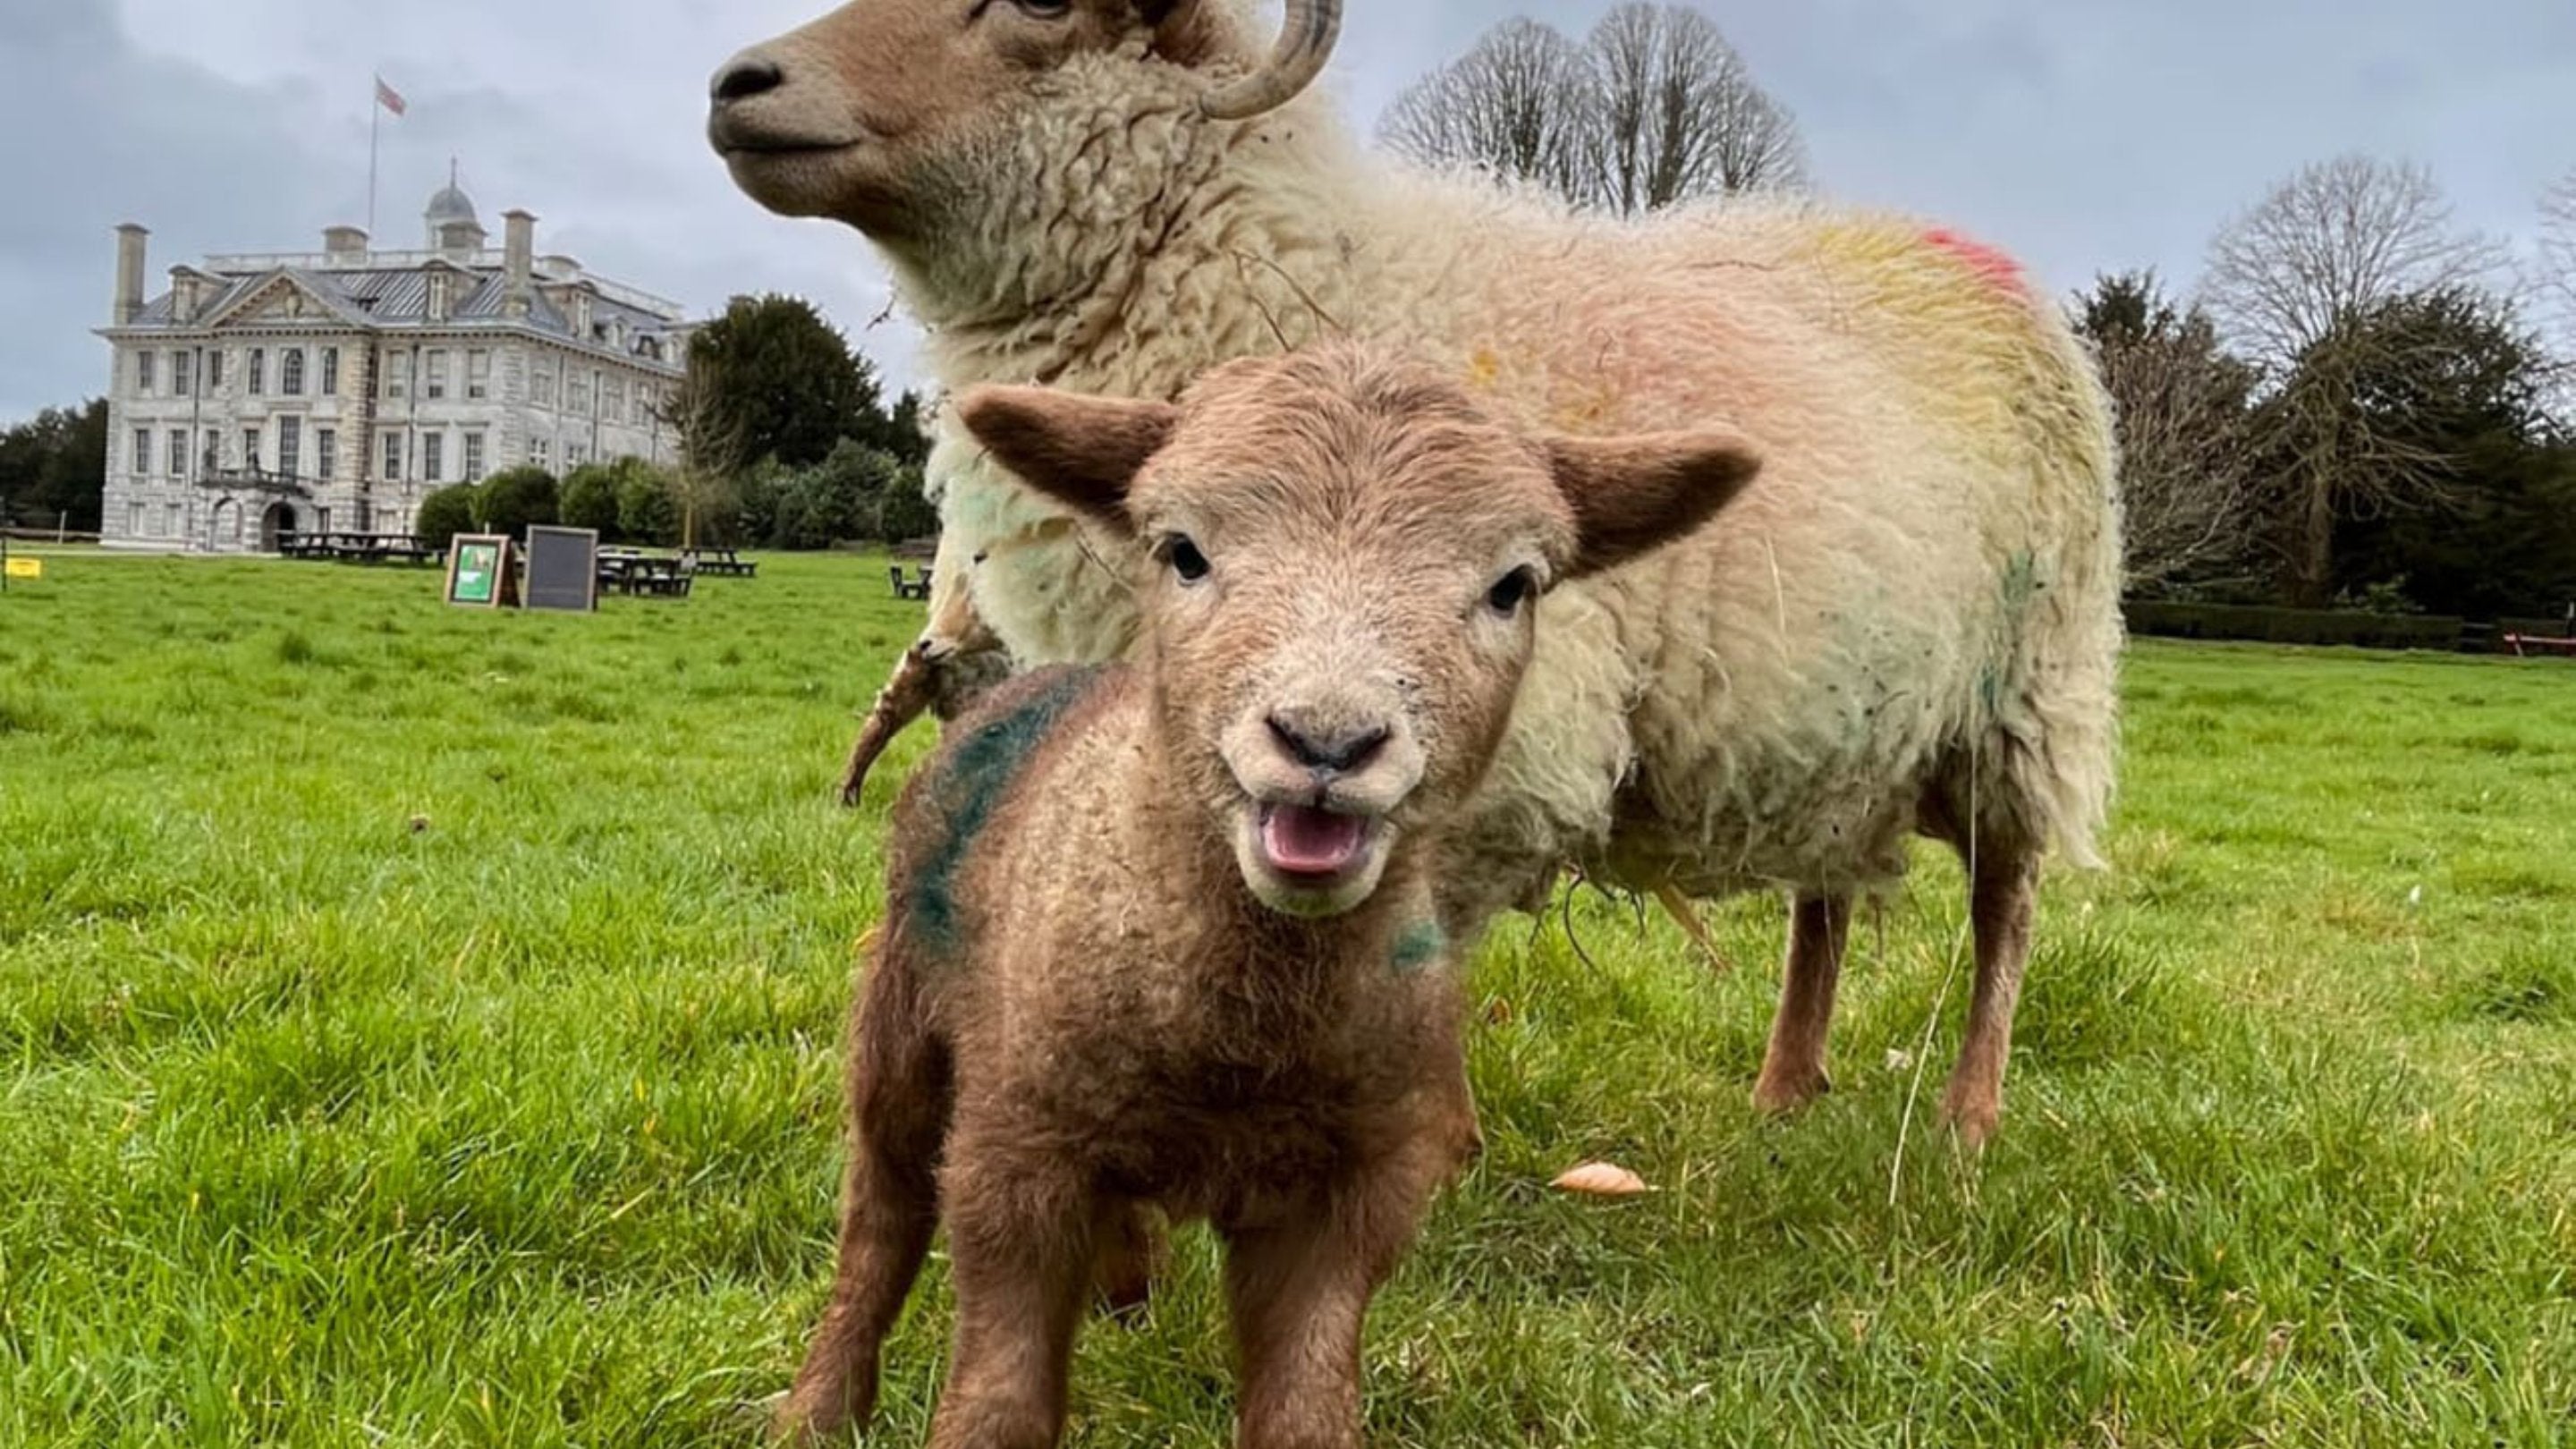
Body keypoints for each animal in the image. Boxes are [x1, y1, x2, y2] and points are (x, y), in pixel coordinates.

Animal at [708, 0, 2124, 1145]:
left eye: (1044, 2)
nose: (736, 82)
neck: (1288, 272)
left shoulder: (1482, 751)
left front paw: (1419, 1155)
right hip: (1843, 727)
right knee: (1823, 905)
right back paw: (1784, 1090)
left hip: (2025, 699)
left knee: (2004, 907)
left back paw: (1970, 1121)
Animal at [773, 341, 1760, 1445]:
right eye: (1182, 553)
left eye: (1514, 586)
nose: (1327, 743)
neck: (1241, 1040)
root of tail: (1037, 681)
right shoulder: (1016, 1159)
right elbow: (998, 1399)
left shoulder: (1349, 1198)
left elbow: (1303, 1402)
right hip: (903, 1025)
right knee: (880, 1222)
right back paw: (817, 1409)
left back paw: (1125, 1294)